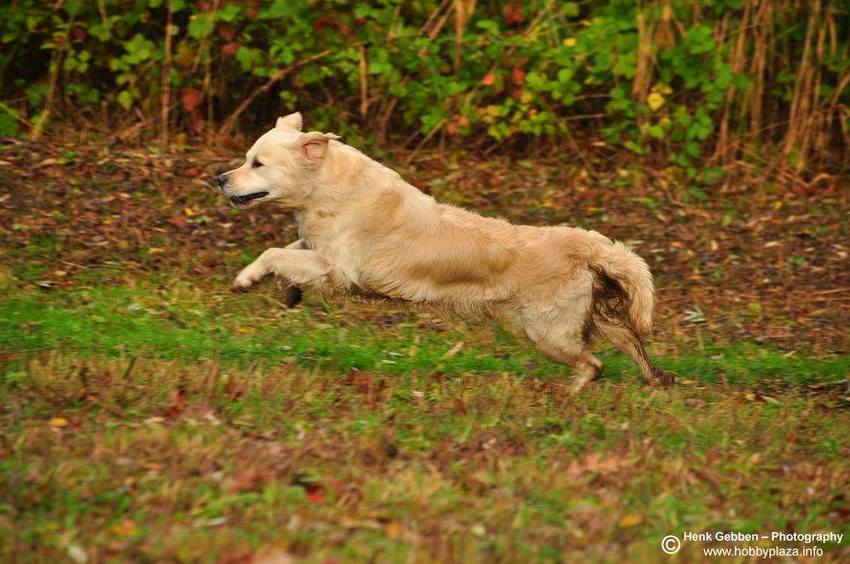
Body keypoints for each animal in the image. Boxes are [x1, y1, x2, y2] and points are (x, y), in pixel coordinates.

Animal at [218, 112, 672, 392]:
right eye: (247, 159)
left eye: (258, 163)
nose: (220, 178)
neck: (330, 187)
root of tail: (587, 243)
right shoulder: (317, 248)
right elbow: (285, 251)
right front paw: (286, 290)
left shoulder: (338, 268)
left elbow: (274, 252)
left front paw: (246, 279)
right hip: (591, 317)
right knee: (629, 340)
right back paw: (656, 380)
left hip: (549, 333)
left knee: (594, 364)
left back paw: (573, 393)